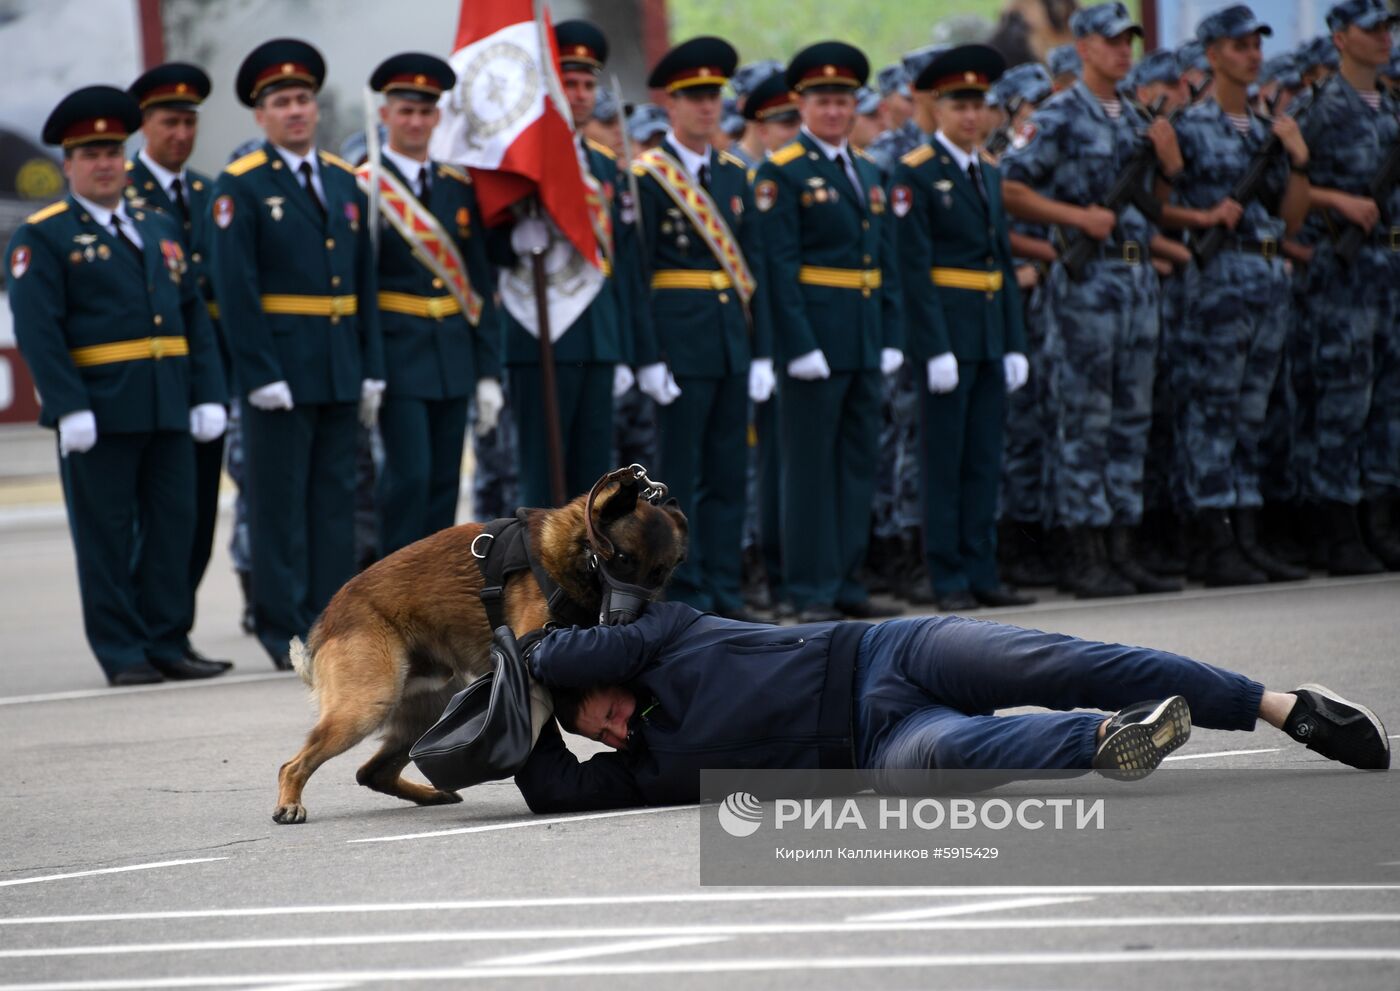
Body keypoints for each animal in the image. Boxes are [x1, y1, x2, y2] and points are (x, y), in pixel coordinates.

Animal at [270, 467, 686, 823]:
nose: (621, 623)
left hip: (428, 713)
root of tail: (328, 617)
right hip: (367, 705)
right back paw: (289, 803)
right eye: (622, 559)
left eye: (659, 574)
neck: (574, 553)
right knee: (293, 765)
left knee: (371, 773)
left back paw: (432, 794)